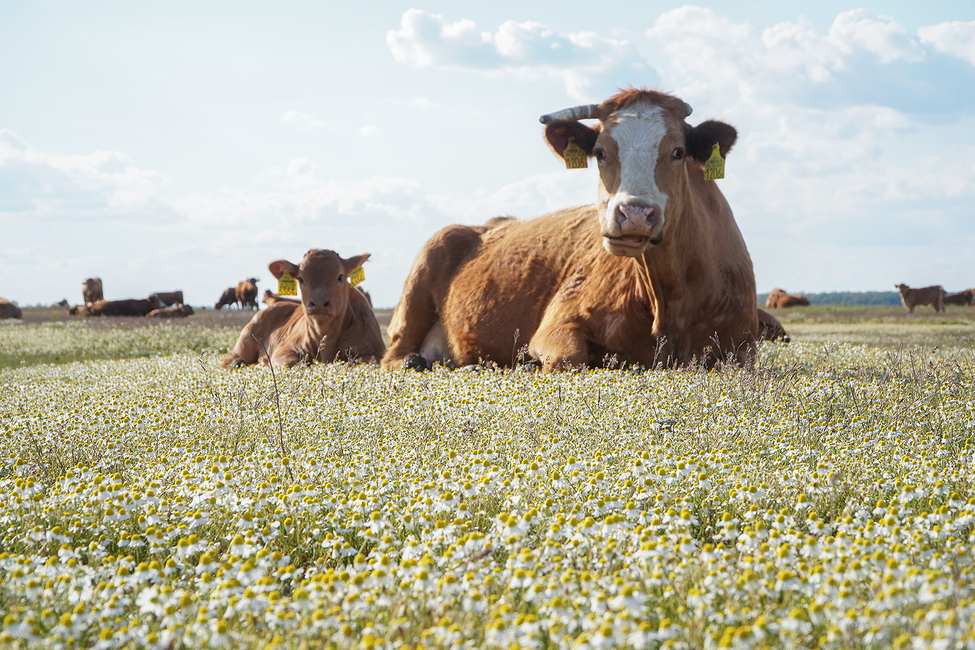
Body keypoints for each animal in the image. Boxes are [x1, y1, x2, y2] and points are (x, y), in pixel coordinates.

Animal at [223, 248, 386, 368]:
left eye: (340, 276)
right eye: (301, 279)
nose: (319, 303)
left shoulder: (373, 353)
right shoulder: (283, 351)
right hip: (244, 343)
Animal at [386, 87, 760, 370]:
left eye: (679, 151)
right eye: (600, 152)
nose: (635, 213)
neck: (671, 297)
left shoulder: (744, 348)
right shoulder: (557, 324)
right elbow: (570, 358)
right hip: (419, 282)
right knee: (396, 357)